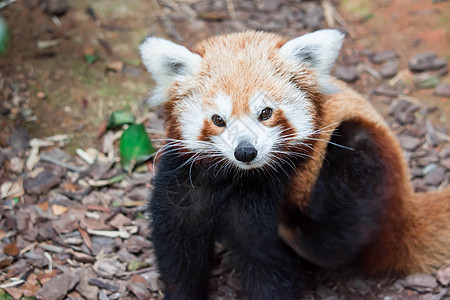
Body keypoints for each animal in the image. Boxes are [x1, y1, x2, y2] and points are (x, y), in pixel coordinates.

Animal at [139, 30, 448, 300]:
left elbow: (268, 264)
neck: (236, 177)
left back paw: (304, 236)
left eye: (265, 113)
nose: (245, 152)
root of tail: (407, 206)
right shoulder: (185, 180)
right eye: (218, 120)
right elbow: (179, 250)